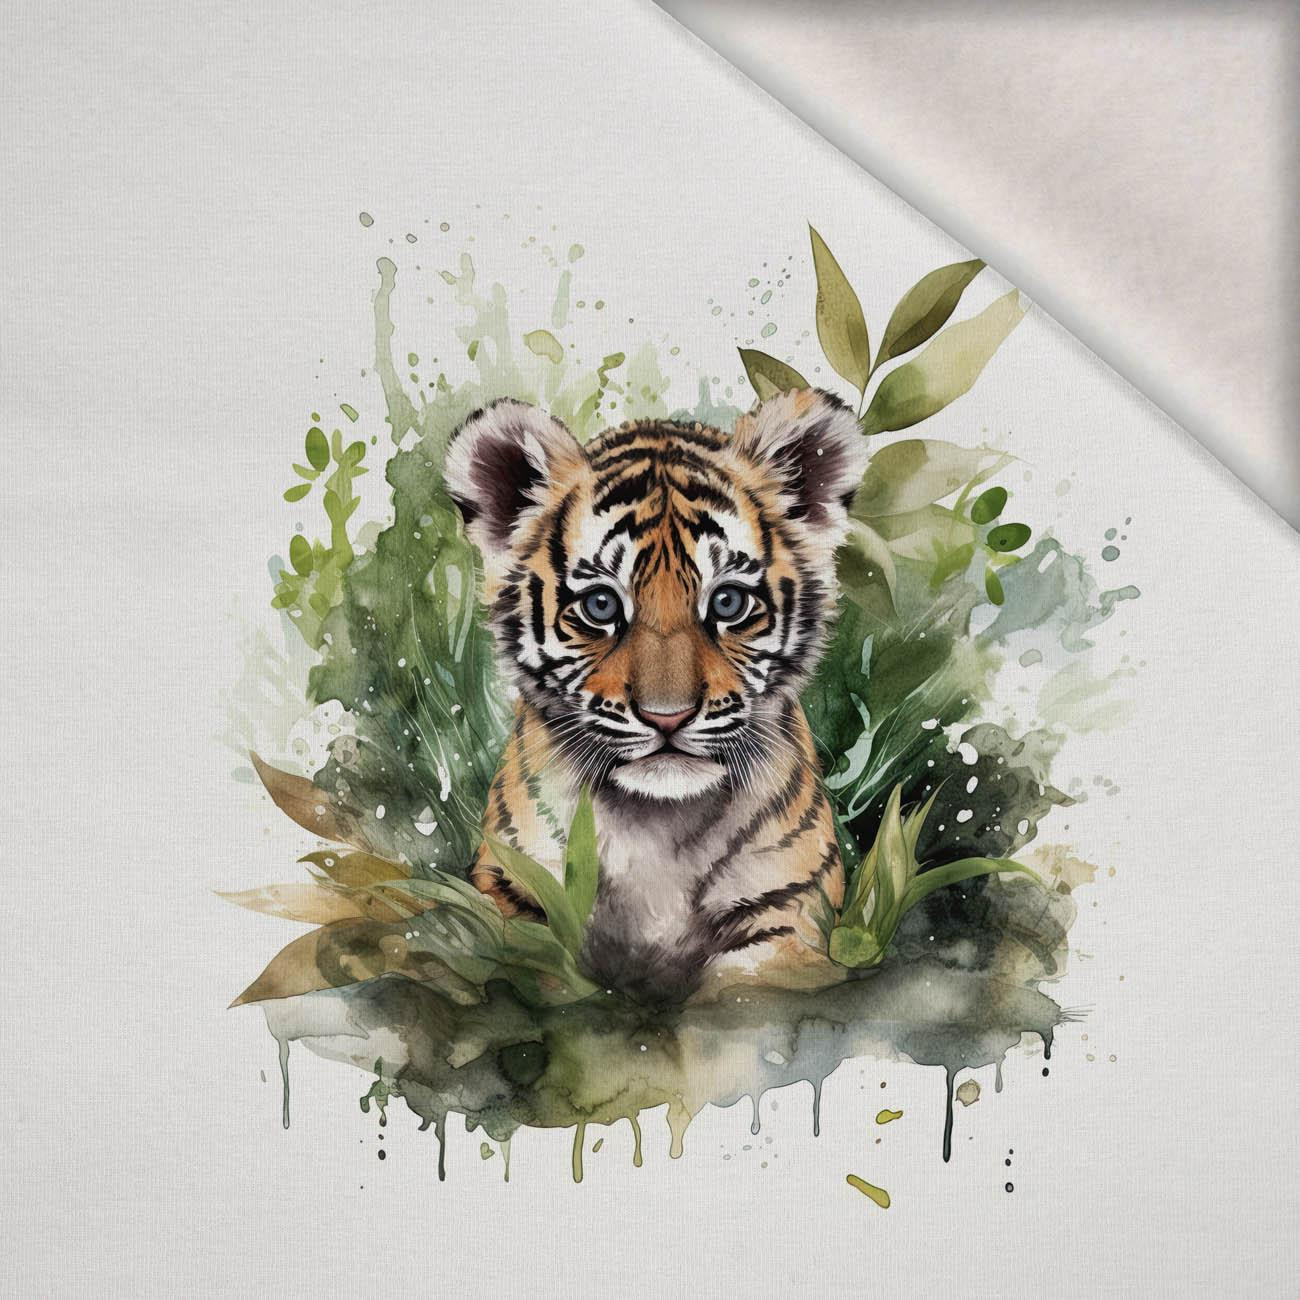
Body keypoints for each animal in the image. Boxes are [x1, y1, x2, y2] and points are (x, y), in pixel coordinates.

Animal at [444, 388, 870, 1003]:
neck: (658, 826)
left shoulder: (787, 914)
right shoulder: (513, 891)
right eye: (600, 605)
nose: (668, 718)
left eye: (728, 602)